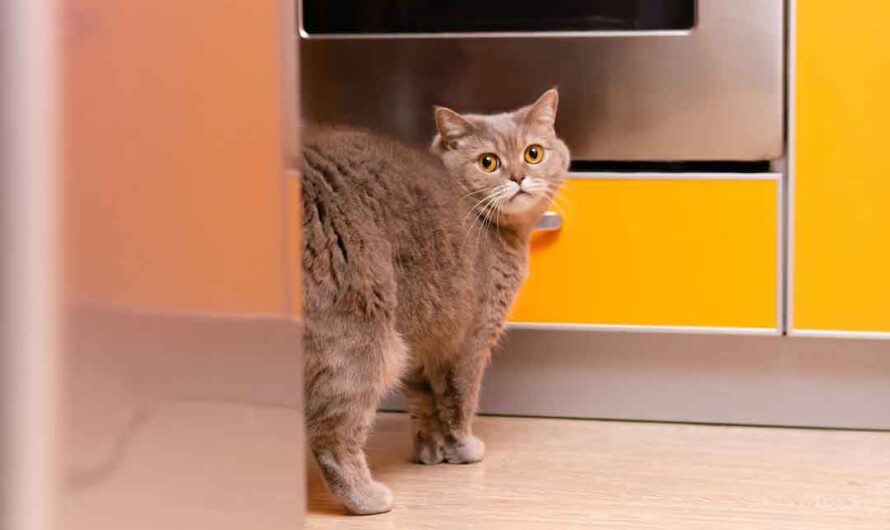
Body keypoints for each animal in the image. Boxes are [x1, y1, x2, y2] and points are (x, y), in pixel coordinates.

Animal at [301, 89, 569, 515]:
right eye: (488, 162)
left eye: (533, 153)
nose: (519, 177)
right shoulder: (471, 337)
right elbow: (460, 400)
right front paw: (464, 450)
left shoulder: (423, 338)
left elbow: (424, 402)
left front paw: (430, 452)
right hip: (362, 342)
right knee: (333, 436)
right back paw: (368, 499)